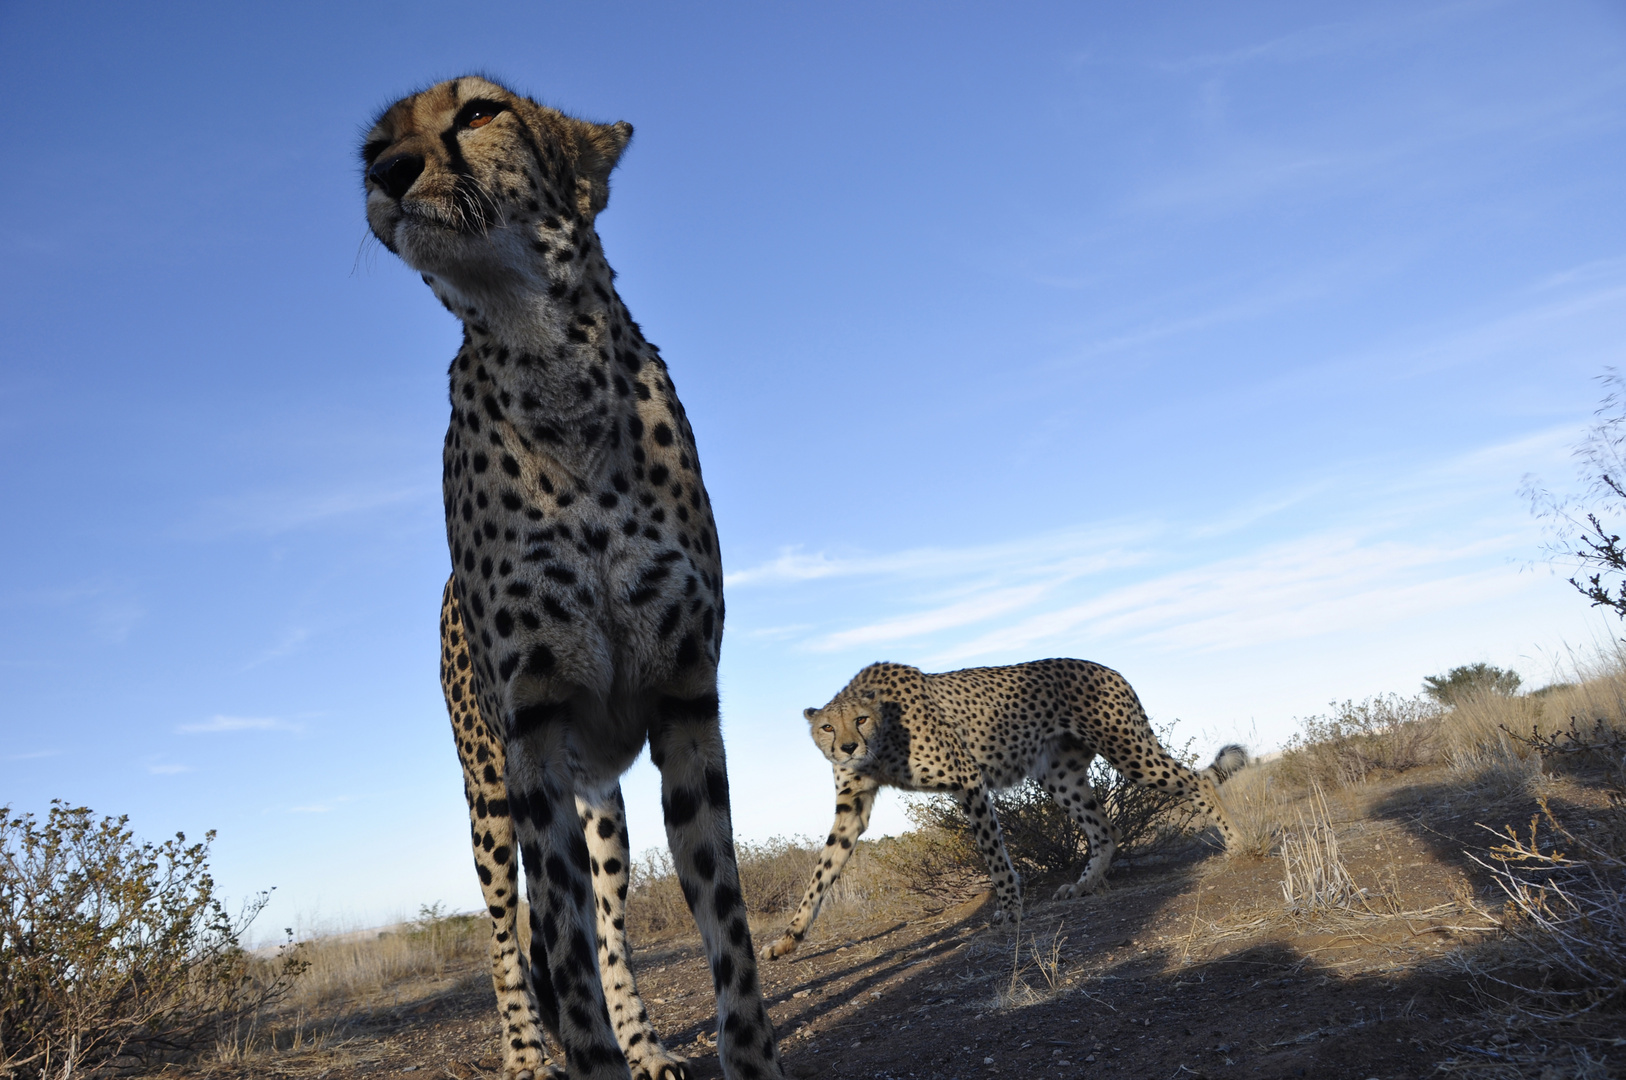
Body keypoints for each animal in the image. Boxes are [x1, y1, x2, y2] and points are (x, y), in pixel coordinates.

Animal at [362, 78, 780, 1080]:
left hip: (609, 813)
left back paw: (647, 1044)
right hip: (486, 798)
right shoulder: (535, 733)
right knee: (507, 937)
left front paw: (741, 1056)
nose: (387, 173)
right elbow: (557, 945)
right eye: (372, 144)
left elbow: (727, 928)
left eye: (479, 113)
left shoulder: (685, 701)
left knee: (610, 924)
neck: (547, 354)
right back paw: (525, 1054)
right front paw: (583, 1053)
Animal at [760, 653, 1242, 956]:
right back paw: (1081, 886)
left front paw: (1010, 908)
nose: (846, 747)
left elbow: (994, 856)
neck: (881, 745)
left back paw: (1238, 843)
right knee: (1105, 829)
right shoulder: (852, 808)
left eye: (860, 719)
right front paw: (789, 939)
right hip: (1059, 776)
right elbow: (821, 873)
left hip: (1127, 749)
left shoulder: (967, 779)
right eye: (826, 726)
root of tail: (1107, 668)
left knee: (1198, 781)